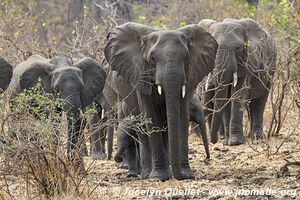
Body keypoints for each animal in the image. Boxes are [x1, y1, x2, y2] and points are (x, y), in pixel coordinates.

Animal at [104, 22, 217, 180]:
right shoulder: (141, 74)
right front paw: (159, 176)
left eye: (187, 58)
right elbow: (151, 117)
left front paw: (187, 174)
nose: (207, 160)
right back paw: (146, 174)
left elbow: (182, 117)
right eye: (152, 59)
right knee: (142, 132)